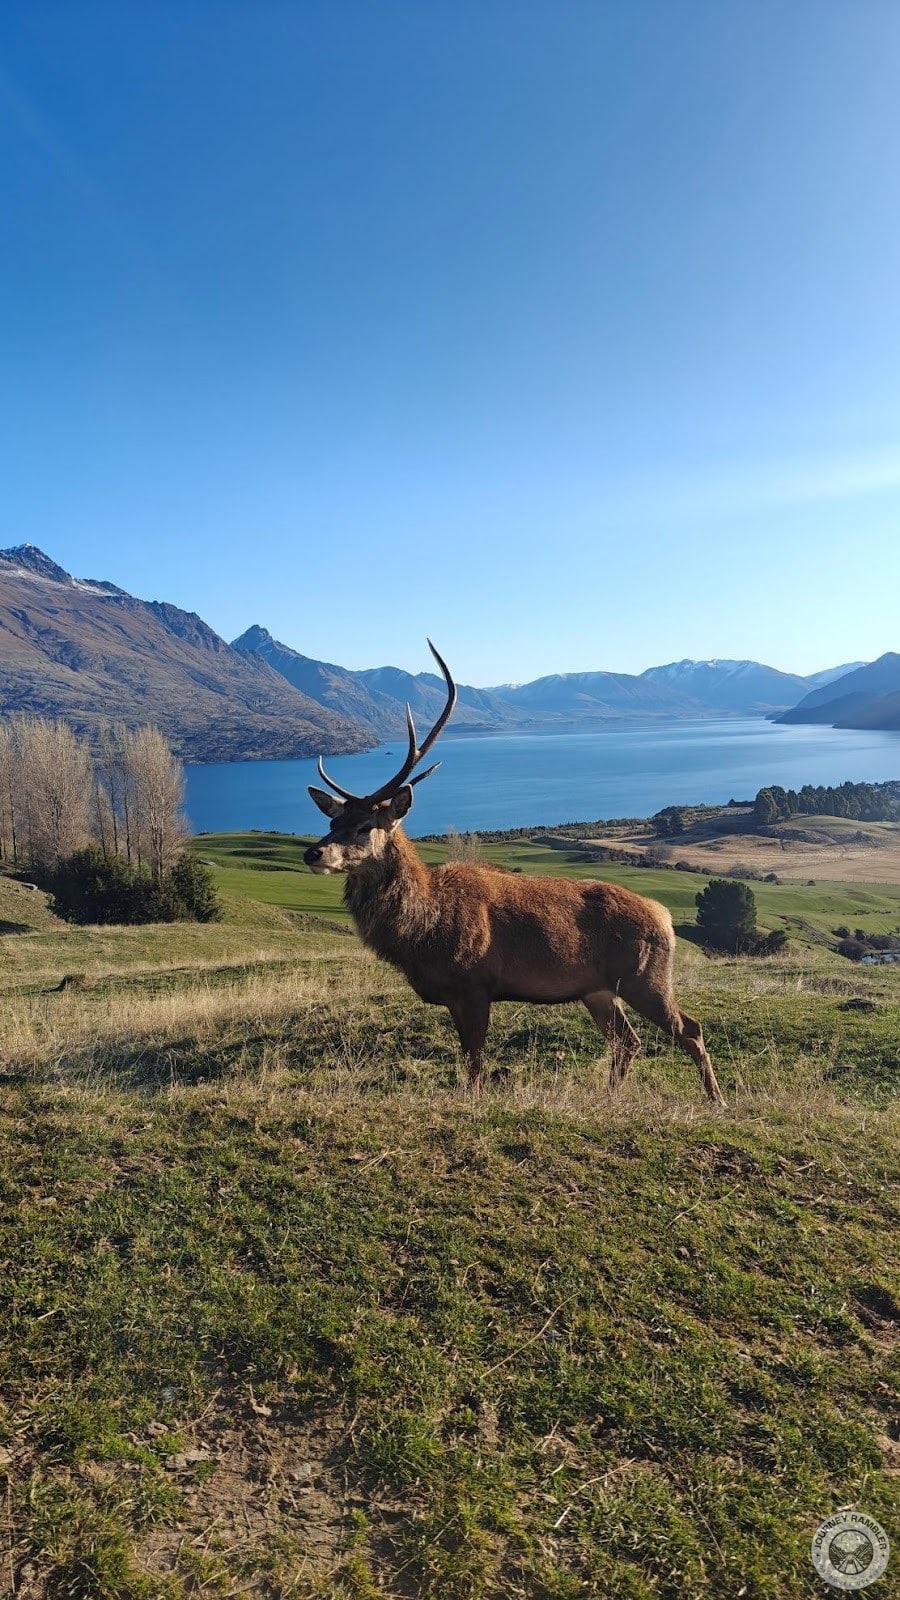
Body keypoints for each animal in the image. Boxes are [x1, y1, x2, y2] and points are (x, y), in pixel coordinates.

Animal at [304, 642, 725, 1105]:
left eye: (366, 826)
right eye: (332, 821)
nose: (313, 853)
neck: (421, 934)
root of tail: (664, 916)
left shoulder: (474, 984)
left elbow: (474, 1062)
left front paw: (474, 1101)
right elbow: (468, 1058)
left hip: (644, 977)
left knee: (689, 1029)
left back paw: (717, 1099)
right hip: (597, 988)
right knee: (626, 1041)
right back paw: (609, 1097)